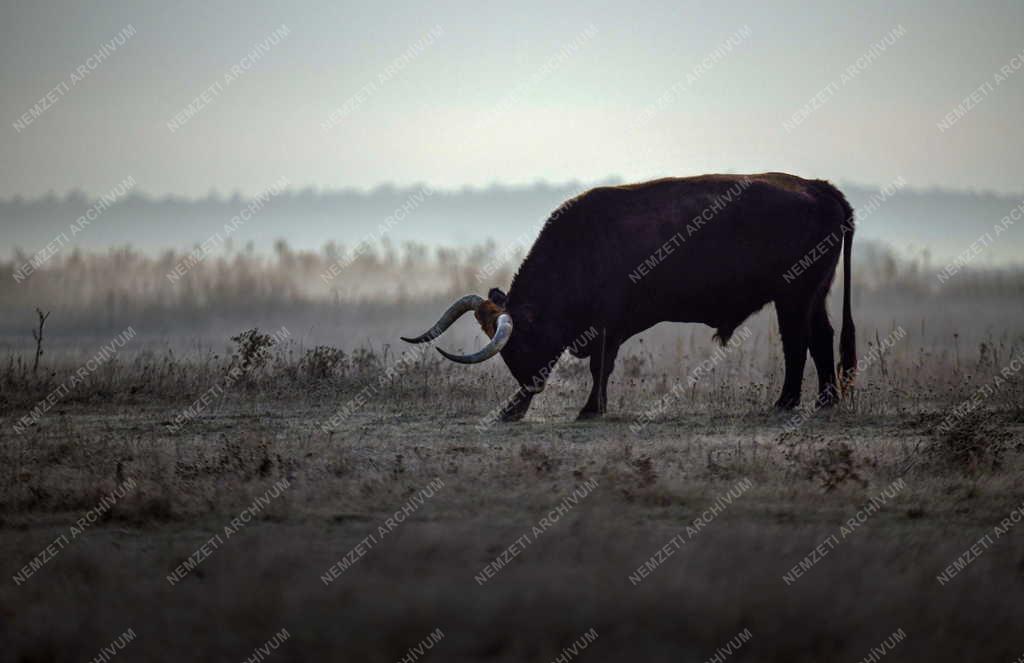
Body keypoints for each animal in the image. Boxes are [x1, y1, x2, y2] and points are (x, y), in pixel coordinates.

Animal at [399, 171, 856, 420]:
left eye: (522, 343)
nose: (529, 390)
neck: (581, 248)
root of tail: (818, 187)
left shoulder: (607, 324)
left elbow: (600, 367)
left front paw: (589, 409)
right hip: (814, 294)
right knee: (821, 338)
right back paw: (825, 401)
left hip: (794, 294)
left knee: (797, 342)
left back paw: (786, 402)